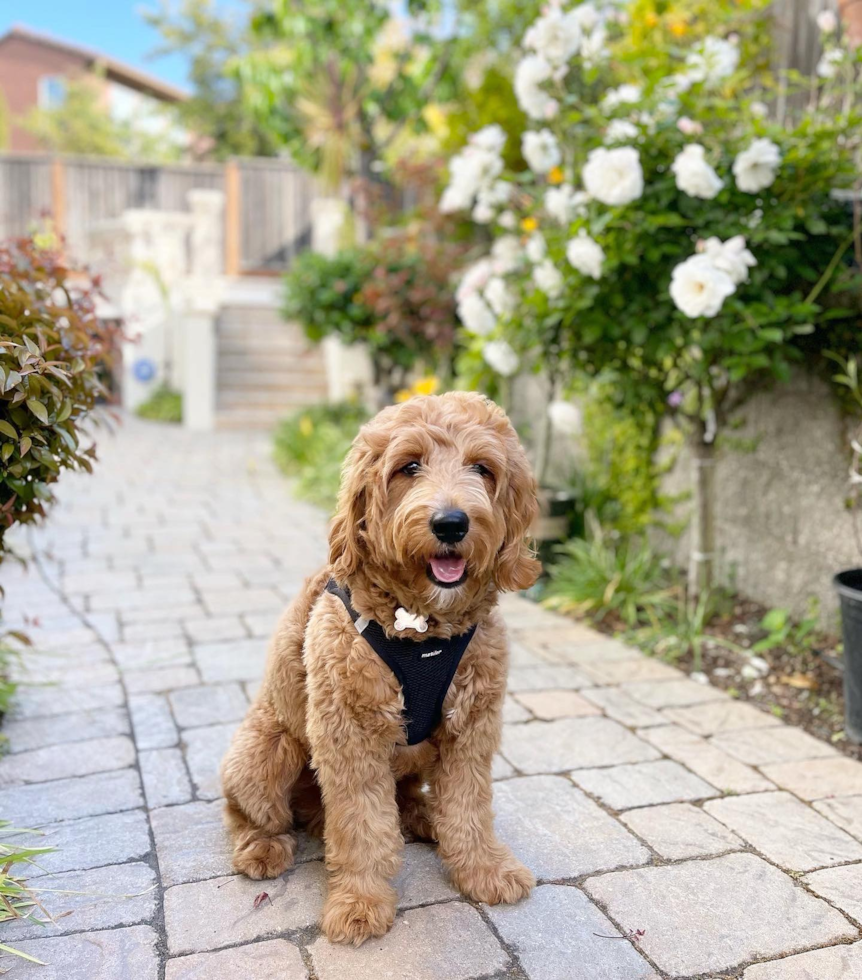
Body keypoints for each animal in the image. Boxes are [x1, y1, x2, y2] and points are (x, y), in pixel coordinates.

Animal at [221, 388, 540, 940]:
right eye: (409, 466)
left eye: (482, 468)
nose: (451, 523)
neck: (423, 629)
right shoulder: (348, 734)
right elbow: (362, 826)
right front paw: (359, 901)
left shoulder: (471, 728)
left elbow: (470, 806)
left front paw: (483, 869)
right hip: (265, 752)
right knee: (250, 813)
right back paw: (263, 845)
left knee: (407, 796)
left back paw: (425, 816)